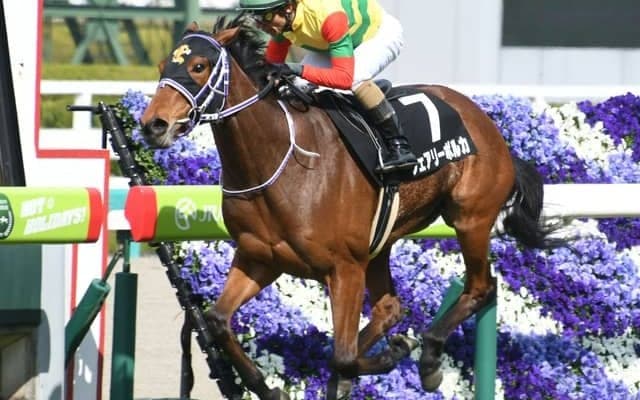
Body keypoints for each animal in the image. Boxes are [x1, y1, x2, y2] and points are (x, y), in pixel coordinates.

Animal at [140, 16, 559, 400]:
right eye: (161, 67)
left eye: (199, 66)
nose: (153, 124)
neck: (280, 161)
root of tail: (483, 120)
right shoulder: (260, 258)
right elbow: (218, 320)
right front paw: (268, 388)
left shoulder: (344, 267)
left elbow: (342, 355)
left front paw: (390, 355)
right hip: (382, 243)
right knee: (390, 307)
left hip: (470, 219)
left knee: (480, 287)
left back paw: (428, 359)